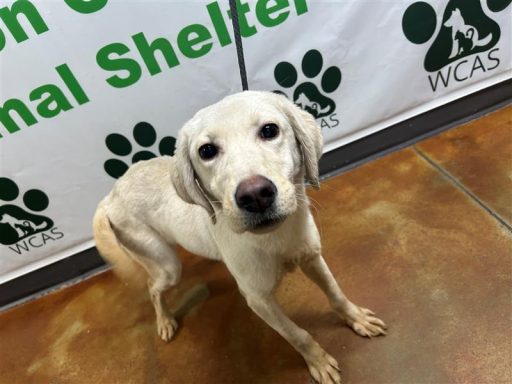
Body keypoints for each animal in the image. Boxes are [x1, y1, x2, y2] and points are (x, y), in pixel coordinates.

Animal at [93, 91, 388, 384]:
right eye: (206, 151)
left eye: (269, 130)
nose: (255, 195)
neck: (276, 238)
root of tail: (110, 196)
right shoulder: (259, 300)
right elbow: (297, 334)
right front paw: (318, 361)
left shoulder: (312, 258)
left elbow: (336, 294)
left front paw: (357, 319)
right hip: (167, 266)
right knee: (153, 288)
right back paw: (164, 321)